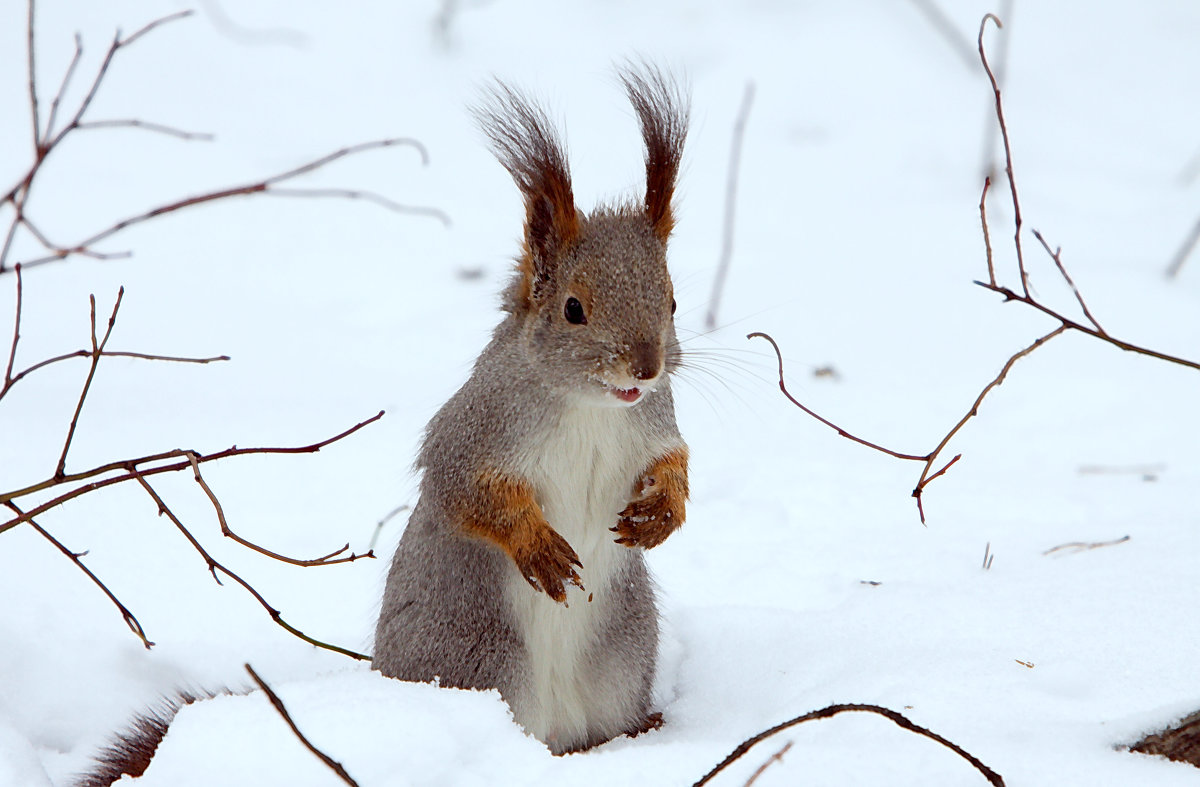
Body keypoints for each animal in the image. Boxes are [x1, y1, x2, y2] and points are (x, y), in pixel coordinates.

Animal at [374, 64, 696, 753]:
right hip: (478, 659)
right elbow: (467, 491)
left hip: (623, 657)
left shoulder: (655, 423)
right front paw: (537, 546)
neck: (591, 406)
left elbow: (675, 461)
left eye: (673, 301)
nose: (646, 368)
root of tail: (555, 729)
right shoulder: (474, 430)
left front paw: (662, 512)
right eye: (573, 308)